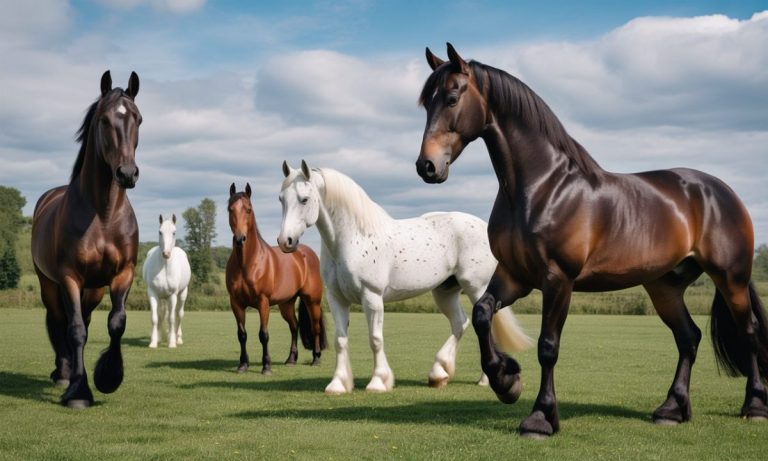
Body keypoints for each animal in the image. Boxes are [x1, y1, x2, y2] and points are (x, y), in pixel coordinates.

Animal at [31, 70, 142, 408]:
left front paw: (108, 377)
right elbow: (76, 330)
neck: (103, 215)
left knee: (86, 318)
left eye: (138, 119)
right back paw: (64, 372)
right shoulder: (69, 277)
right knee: (60, 321)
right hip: (49, 284)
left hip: (92, 290)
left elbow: (117, 322)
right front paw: (78, 392)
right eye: (104, 120)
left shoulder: (122, 274)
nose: (127, 173)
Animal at [142, 214, 191, 348]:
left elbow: (171, 319)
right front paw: (153, 342)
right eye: (160, 232)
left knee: (179, 314)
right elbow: (155, 318)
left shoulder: (172, 295)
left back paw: (178, 338)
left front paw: (172, 343)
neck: (164, 267)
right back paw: (161, 337)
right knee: (161, 315)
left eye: (174, 232)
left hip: (182, 294)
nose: (166, 254)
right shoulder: (153, 294)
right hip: (162, 298)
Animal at [226, 183, 327, 375]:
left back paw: (316, 358)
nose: (240, 239)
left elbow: (263, 334)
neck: (248, 263)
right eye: (230, 209)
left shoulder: (263, 302)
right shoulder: (236, 303)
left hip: (312, 300)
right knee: (294, 326)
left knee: (315, 327)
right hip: (286, 304)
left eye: (248, 209)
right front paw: (243, 365)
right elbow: (241, 334)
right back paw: (291, 359)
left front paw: (266, 366)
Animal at [278, 160, 531, 394]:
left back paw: (486, 380)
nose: (285, 241)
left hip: (476, 288)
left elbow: (375, 339)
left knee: (485, 324)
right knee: (460, 323)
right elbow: (340, 340)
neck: (353, 238)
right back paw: (439, 374)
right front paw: (338, 384)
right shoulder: (337, 298)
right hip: (445, 292)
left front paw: (379, 382)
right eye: (281, 199)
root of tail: (483, 226)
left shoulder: (372, 297)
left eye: (304, 199)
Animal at [415, 43, 768, 438]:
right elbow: (481, 314)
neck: (542, 188)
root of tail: (721, 191)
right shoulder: (515, 276)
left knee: (749, 332)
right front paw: (507, 381)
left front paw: (540, 418)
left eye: (452, 97)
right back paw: (672, 409)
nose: (427, 166)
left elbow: (548, 346)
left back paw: (754, 407)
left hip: (730, 278)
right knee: (688, 338)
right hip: (665, 286)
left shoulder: (558, 280)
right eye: (426, 103)